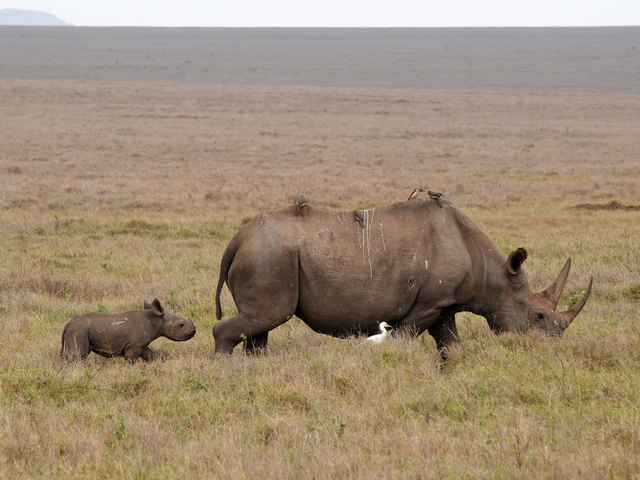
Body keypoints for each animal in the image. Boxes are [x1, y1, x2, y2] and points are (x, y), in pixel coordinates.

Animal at [61, 299, 196, 362]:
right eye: (181, 325)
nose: (194, 331)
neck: (156, 320)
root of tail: (68, 323)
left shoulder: (142, 345)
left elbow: (153, 356)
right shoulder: (134, 346)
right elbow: (131, 360)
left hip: (77, 329)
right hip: (78, 330)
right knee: (79, 356)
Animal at [213, 197, 592, 356]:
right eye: (538, 316)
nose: (552, 346)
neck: (492, 273)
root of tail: (236, 240)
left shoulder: (444, 304)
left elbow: (452, 348)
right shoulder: (427, 304)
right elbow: (403, 339)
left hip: (267, 255)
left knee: (260, 324)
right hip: (268, 256)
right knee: (265, 317)